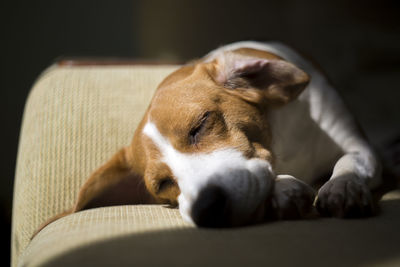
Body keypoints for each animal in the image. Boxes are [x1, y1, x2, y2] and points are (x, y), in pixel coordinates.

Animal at [36, 40, 382, 231]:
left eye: (200, 125)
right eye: (162, 184)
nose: (206, 208)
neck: (283, 146)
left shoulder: (359, 145)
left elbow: (352, 161)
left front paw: (343, 185)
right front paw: (283, 188)